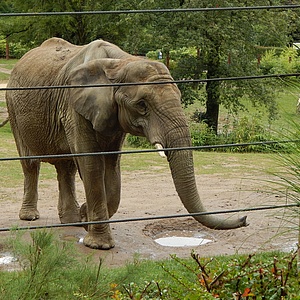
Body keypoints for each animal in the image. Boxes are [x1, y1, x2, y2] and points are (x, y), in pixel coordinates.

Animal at [5, 37, 247, 248]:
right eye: (142, 105)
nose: (244, 218)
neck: (120, 63)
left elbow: (112, 166)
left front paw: (84, 218)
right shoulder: (73, 105)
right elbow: (91, 163)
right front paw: (99, 244)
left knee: (66, 167)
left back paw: (71, 221)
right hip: (13, 106)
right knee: (31, 164)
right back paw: (30, 217)